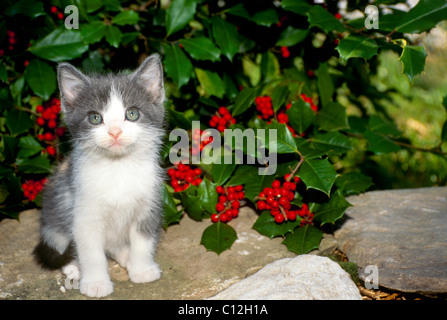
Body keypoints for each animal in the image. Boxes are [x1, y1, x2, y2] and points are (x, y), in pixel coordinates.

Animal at [32, 54, 166, 298]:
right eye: (95, 118)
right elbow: (90, 250)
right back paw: (74, 267)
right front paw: (95, 282)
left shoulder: (149, 203)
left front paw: (142, 269)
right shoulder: (83, 210)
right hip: (55, 214)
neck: (118, 168)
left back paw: (125, 256)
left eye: (132, 114)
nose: (115, 132)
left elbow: (143, 239)